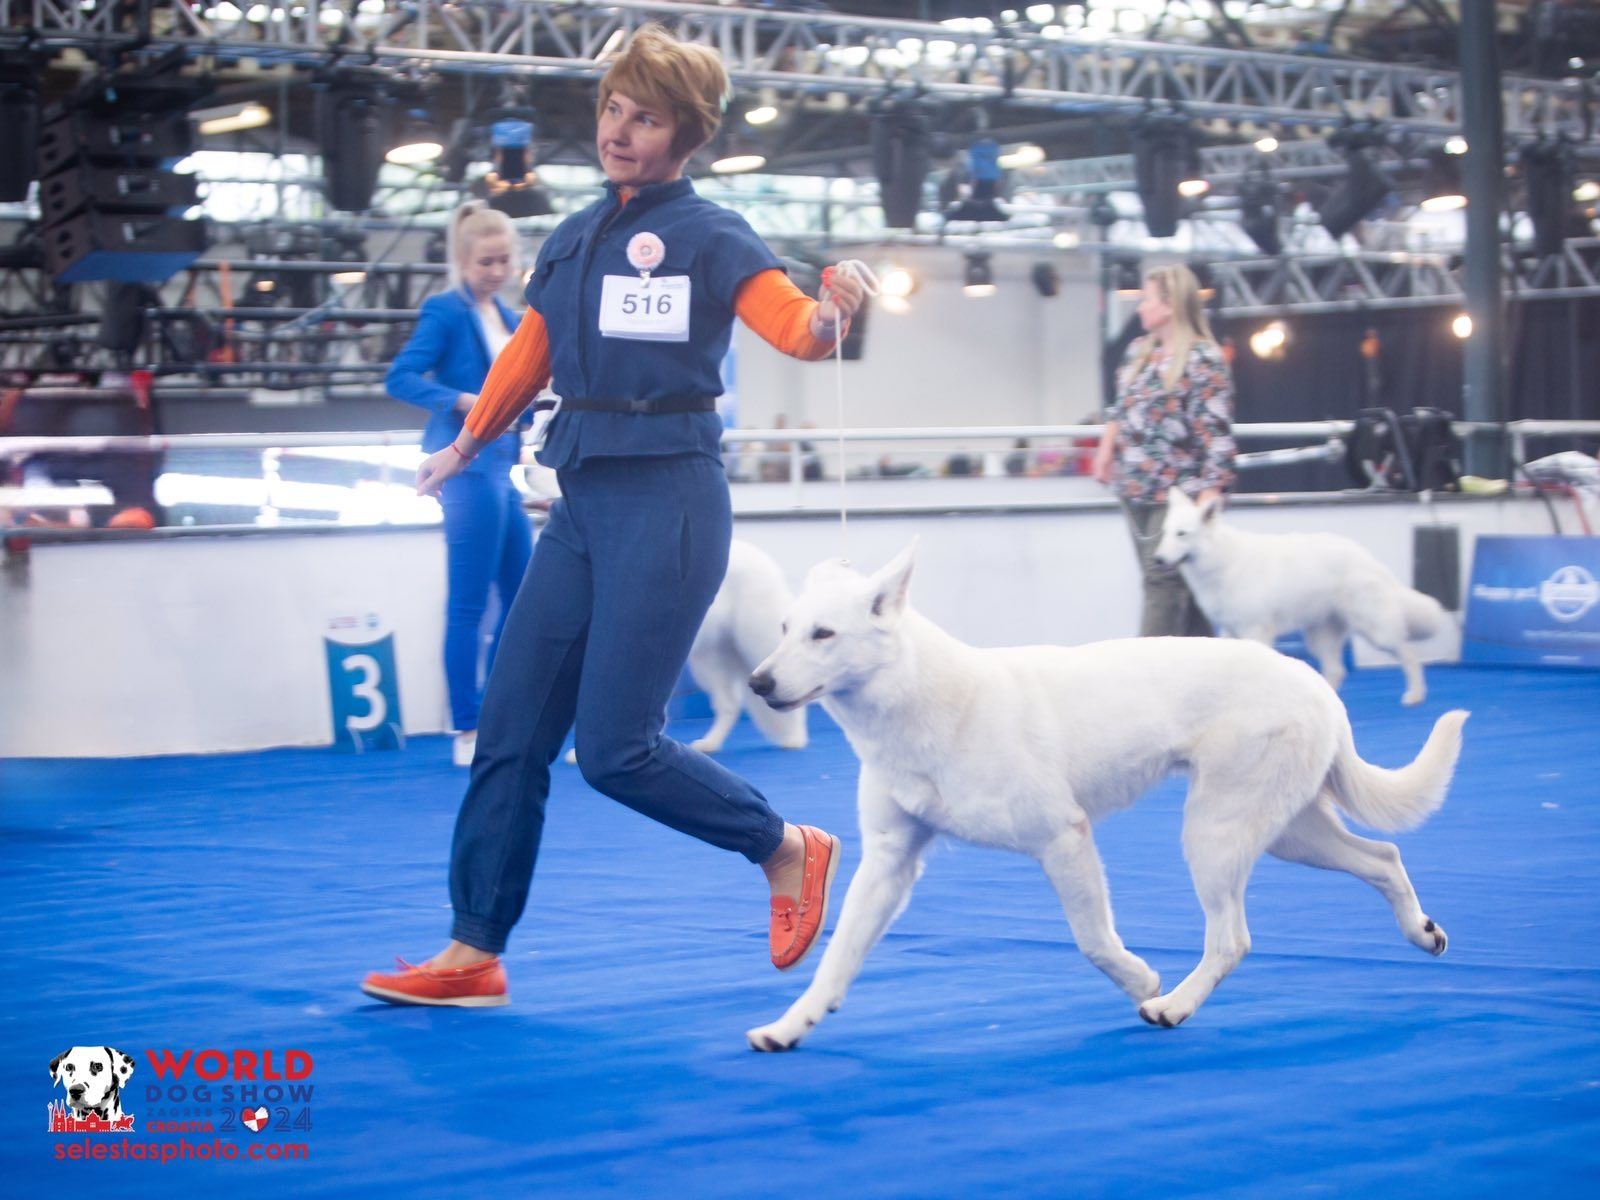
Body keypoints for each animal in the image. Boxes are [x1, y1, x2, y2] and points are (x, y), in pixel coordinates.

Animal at [742, 544, 1465, 1049]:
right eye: (783, 628)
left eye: (823, 635)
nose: (757, 682)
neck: (926, 706)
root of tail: (1314, 683)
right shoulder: (890, 862)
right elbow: (836, 961)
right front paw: (790, 1027)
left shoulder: (1062, 838)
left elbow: (1092, 940)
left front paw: (1141, 980)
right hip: (1286, 831)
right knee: (1383, 857)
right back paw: (1422, 933)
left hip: (1214, 833)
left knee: (1232, 939)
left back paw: (1172, 1006)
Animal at [1152, 489, 1452, 710]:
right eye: (1165, 532)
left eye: (1182, 534)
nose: (1157, 559)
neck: (1221, 561)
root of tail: (1369, 559)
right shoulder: (1229, 631)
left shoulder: (1256, 630)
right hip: (1320, 636)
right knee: (1336, 671)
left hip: (1375, 630)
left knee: (1409, 654)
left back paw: (1415, 695)